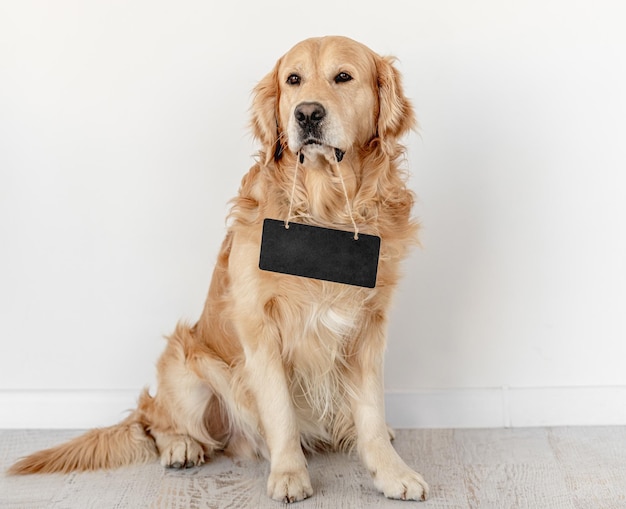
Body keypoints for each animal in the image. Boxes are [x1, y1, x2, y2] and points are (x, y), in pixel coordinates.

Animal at [8, 34, 428, 500]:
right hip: (185, 365)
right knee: (157, 422)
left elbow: (370, 410)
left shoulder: (369, 325)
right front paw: (288, 474)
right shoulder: (259, 327)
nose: (306, 114)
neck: (326, 211)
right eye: (293, 79)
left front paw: (392, 472)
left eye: (343, 76)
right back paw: (181, 446)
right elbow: (280, 410)